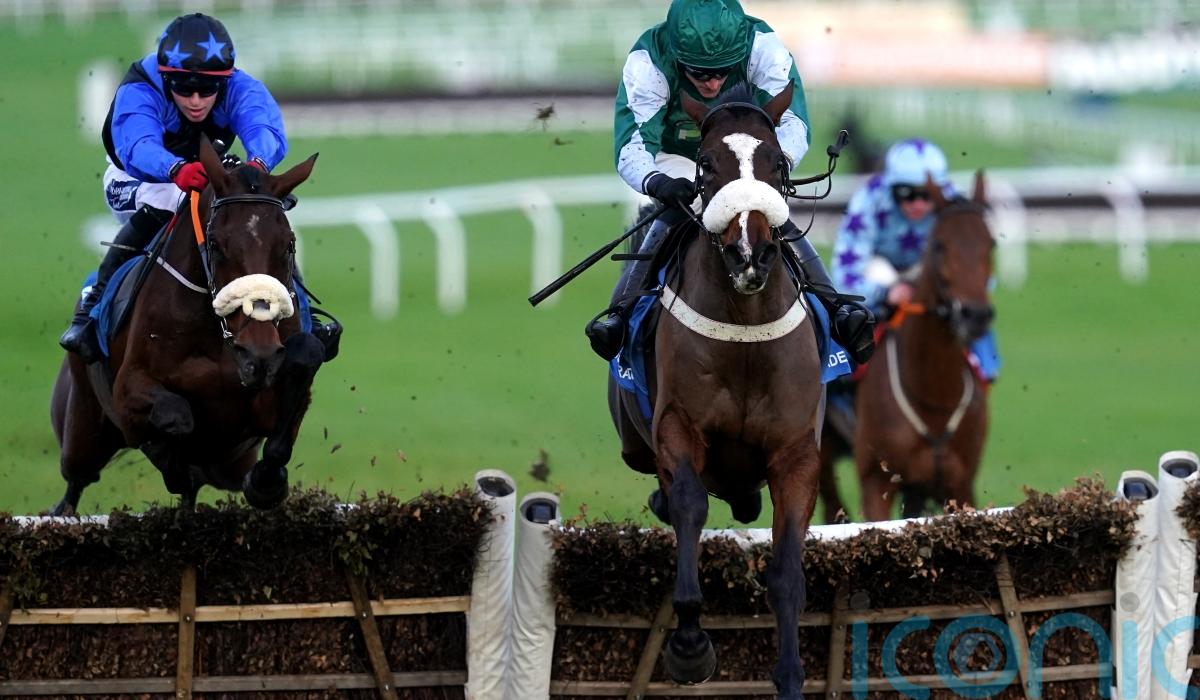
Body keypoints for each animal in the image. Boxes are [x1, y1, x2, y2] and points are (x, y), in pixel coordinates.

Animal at [49, 138, 326, 515]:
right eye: (216, 244)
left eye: (288, 245)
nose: (260, 353)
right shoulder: (127, 392)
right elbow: (175, 415)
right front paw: (170, 458)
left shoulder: (262, 412)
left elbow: (303, 365)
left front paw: (266, 483)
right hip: (83, 434)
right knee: (73, 486)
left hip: (230, 465)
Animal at [608, 83, 823, 699]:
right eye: (706, 166)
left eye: (777, 164)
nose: (749, 254)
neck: (745, 331)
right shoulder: (678, 426)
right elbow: (688, 502)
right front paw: (688, 644)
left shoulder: (797, 452)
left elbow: (786, 572)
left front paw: (791, 676)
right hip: (634, 441)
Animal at [836, 172, 995, 521]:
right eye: (939, 245)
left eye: (991, 243)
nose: (975, 314)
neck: (934, 398)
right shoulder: (876, 481)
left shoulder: (959, 485)